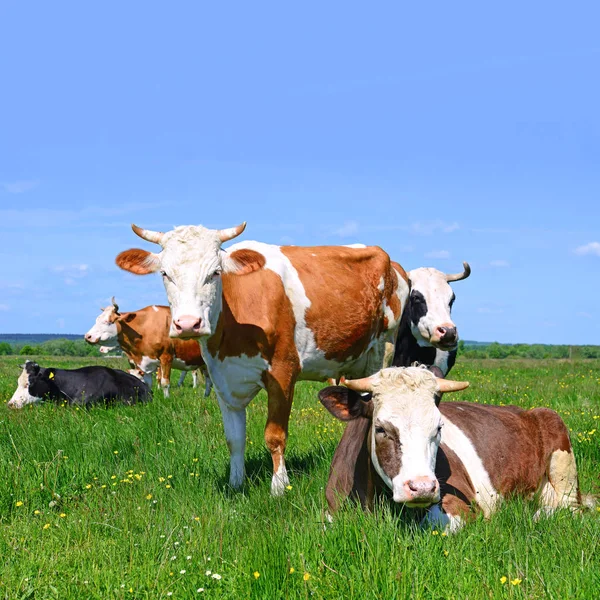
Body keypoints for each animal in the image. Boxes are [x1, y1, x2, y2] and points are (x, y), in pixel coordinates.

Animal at [115, 223, 410, 494]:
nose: (188, 324)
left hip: (383, 349)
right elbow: (234, 439)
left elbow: (275, 436)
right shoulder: (222, 379)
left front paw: (279, 487)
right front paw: (235, 483)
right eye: (165, 273)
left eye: (215, 273)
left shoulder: (282, 372)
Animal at [318, 366, 584, 528]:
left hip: (559, 447)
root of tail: (522, 410)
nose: (422, 488)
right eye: (381, 429)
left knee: (571, 508)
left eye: (438, 428)